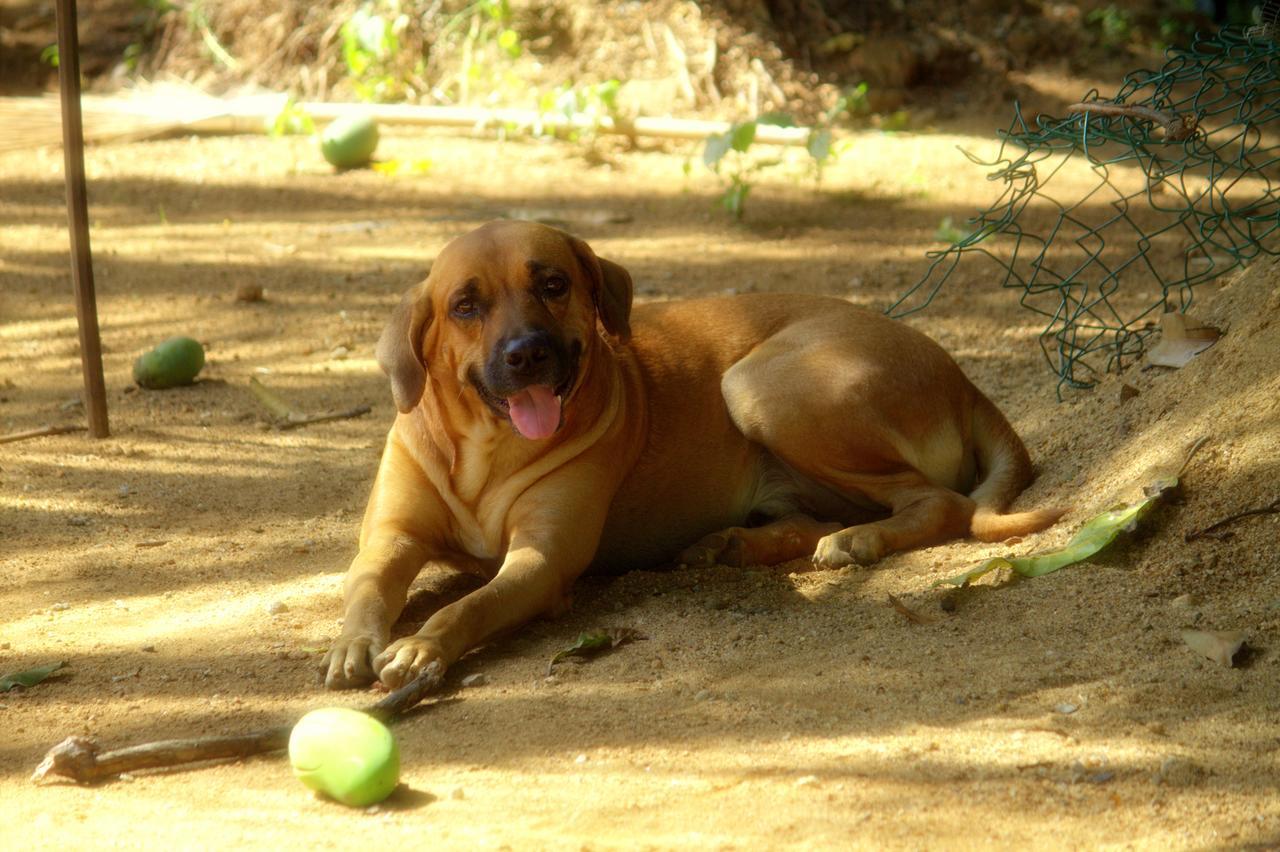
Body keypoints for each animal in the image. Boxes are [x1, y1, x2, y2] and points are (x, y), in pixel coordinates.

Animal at [322, 216, 1059, 685]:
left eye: (554, 284)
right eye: (465, 306)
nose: (527, 353)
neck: (484, 450)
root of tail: (959, 376)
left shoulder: (541, 562)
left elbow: (469, 604)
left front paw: (422, 646)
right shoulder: (390, 538)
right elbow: (366, 585)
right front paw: (354, 642)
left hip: (762, 386)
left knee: (940, 501)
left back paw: (859, 542)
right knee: (817, 517)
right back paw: (737, 544)